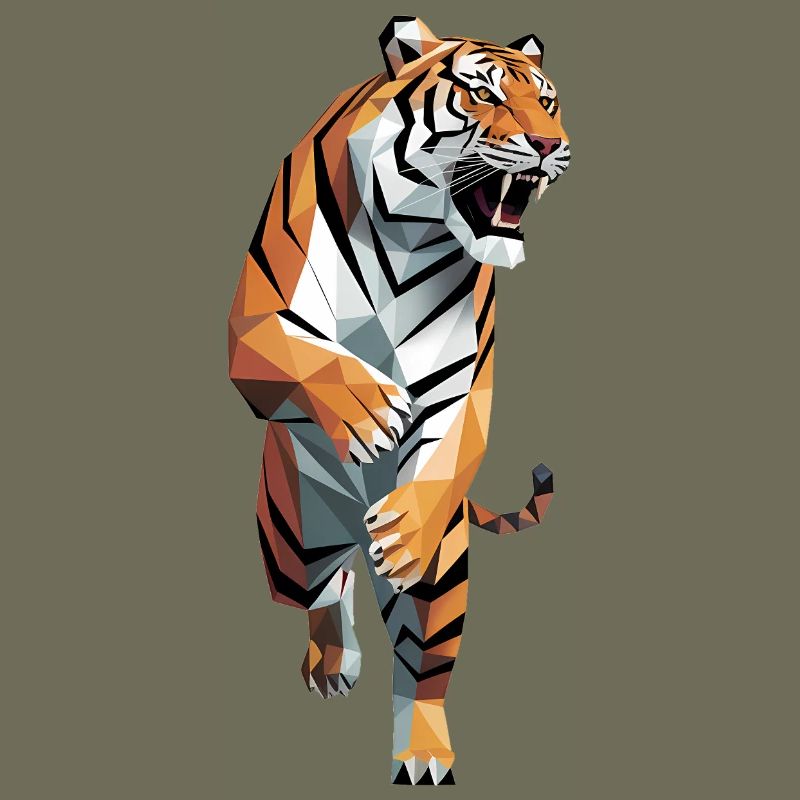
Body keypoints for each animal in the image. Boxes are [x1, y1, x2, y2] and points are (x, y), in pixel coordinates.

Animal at [227, 16, 570, 785]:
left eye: (547, 102)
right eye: (483, 94)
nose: (548, 145)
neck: (413, 237)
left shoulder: (465, 380)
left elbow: (453, 438)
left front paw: (405, 528)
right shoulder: (253, 325)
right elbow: (302, 358)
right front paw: (369, 412)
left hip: (445, 573)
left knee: (423, 668)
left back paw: (424, 755)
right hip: (290, 544)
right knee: (323, 590)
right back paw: (333, 662)